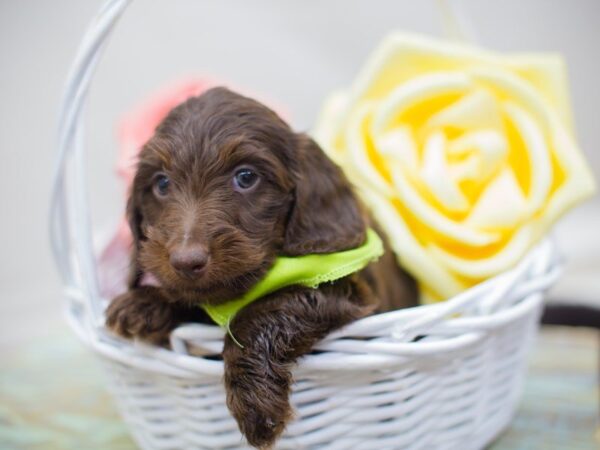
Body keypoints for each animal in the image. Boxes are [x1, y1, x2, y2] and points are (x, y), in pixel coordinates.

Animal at [105, 86, 418, 448]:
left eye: (246, 177)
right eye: (162, 184)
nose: (185, 260)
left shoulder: (350, 289)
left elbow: (262, 312)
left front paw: (256, 405)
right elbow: (199, 303)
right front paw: (144, 304)